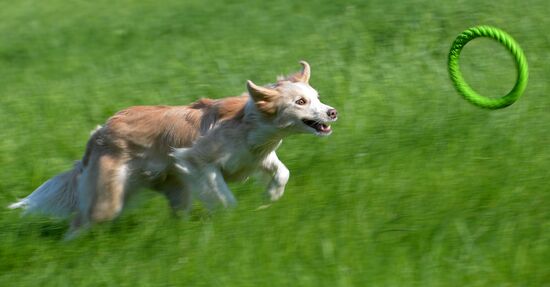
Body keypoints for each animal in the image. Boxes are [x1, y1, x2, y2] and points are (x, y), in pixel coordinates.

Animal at [8, 60, 338, 236]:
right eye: (300, 102)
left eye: (317, 97)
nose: (333, 112)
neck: (249, 123)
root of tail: (99, 131)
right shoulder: (197, 162)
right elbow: (225, 196)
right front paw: (232, 217)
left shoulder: (258, 157)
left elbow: (282, 173)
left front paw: (271, 196)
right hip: (108, 200)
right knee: (80, 221)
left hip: (176, 191)